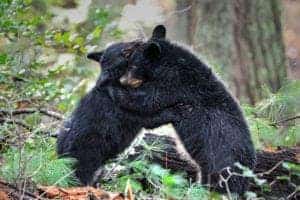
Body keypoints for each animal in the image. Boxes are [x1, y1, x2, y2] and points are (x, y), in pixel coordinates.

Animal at [57, 41, 182, 185]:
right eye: (126, 51)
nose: (140, 41)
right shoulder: (125, 109)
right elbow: (150, 117)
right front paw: (174, 110)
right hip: (86, 153)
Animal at [106, 24, 256, 194]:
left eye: (133, 65)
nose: (123, 80)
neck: (169, 64)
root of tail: (249, 170)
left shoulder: (174, 84)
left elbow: (147, 99)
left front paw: (113, 87)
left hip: (221, 164)